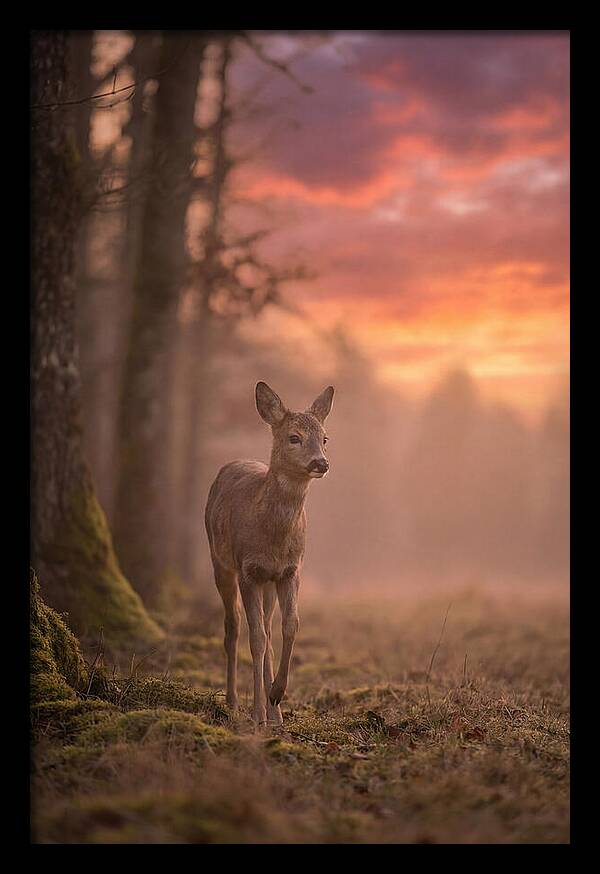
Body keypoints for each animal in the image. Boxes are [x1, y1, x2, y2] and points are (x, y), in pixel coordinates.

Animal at [205, 381, 334, 728]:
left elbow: (291, 626)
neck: (273, 539)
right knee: (233, 627)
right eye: (294, 437)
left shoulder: (290, 570)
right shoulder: (248, 569)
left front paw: (276, 694)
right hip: (220, 562)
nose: (321, 463)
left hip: (268, 584)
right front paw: (257, 714)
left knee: (266, 626)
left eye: (325, 438)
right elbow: (257, 639)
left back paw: (275, 712)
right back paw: (234, 702)